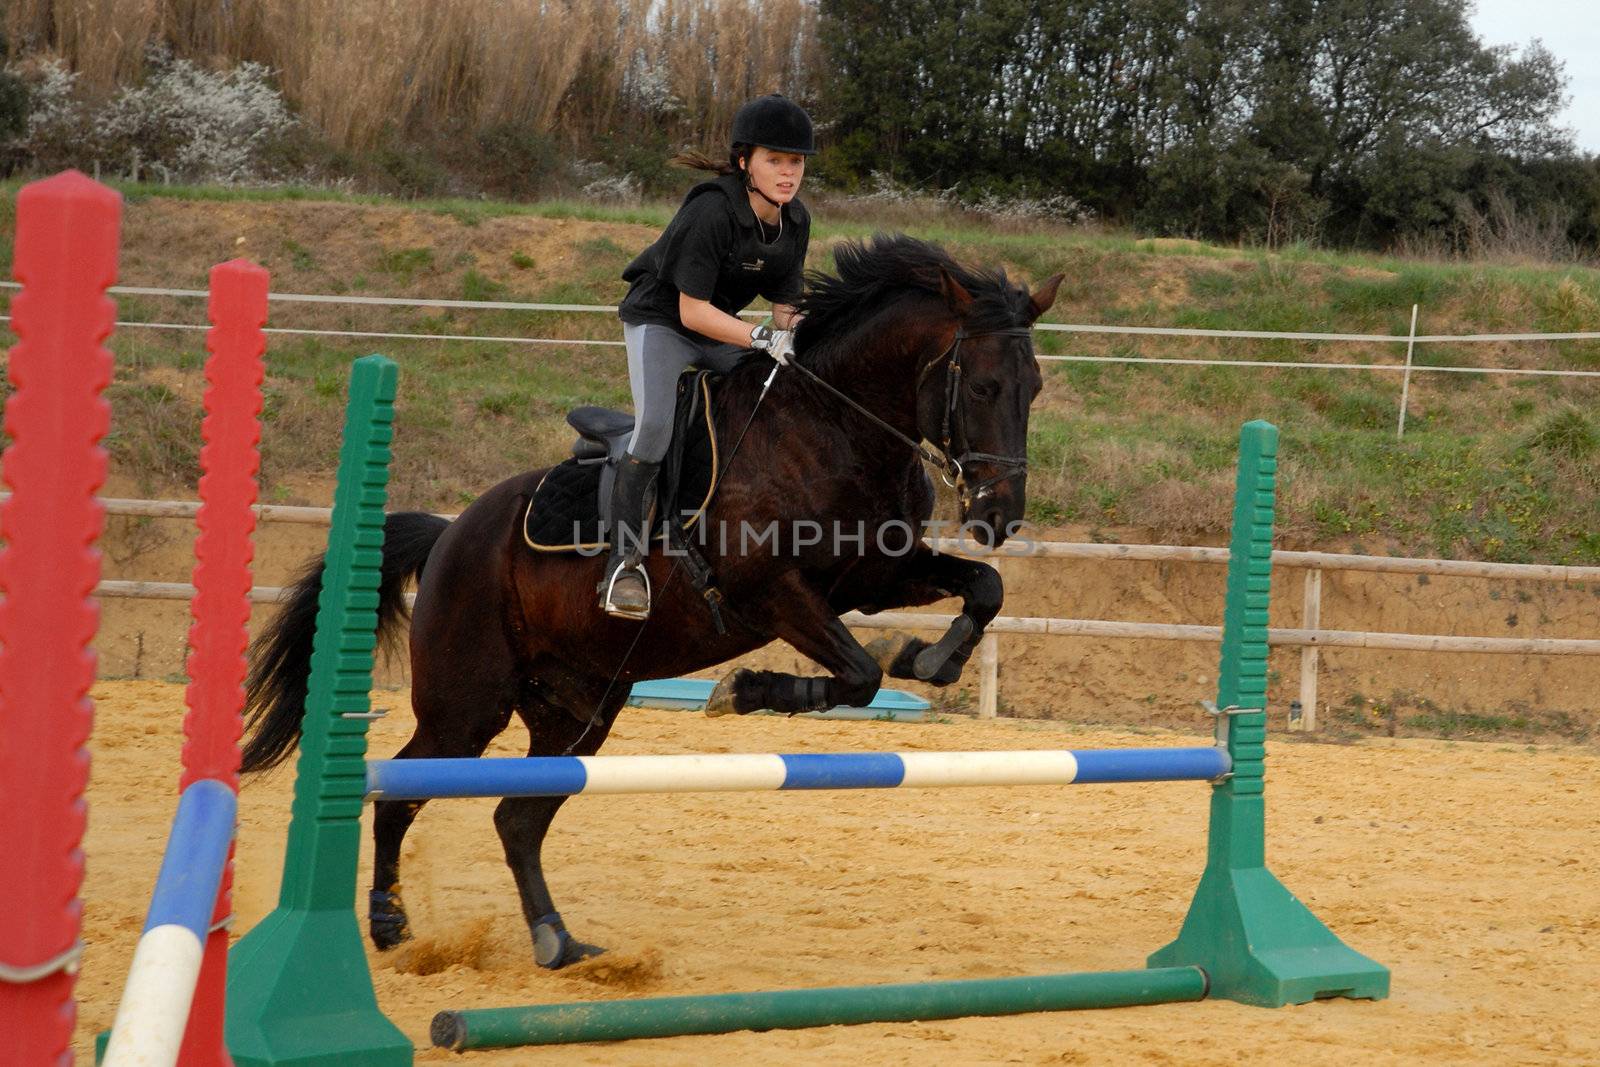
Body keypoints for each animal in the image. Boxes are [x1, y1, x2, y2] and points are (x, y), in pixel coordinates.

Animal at [240, 233, 1062, 966]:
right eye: (983, 387)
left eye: (1035, 389)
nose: (999, 515)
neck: (833, 426)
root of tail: (449, 536)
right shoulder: (770, 591)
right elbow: (857, 673)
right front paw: (742, 689)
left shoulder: (869, 577)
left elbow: (982, 590)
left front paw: (928, 657)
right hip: (466, 706)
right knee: (400, 794)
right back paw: (389, 925)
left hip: (578, 710)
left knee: (517, 819)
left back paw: (559, 943)